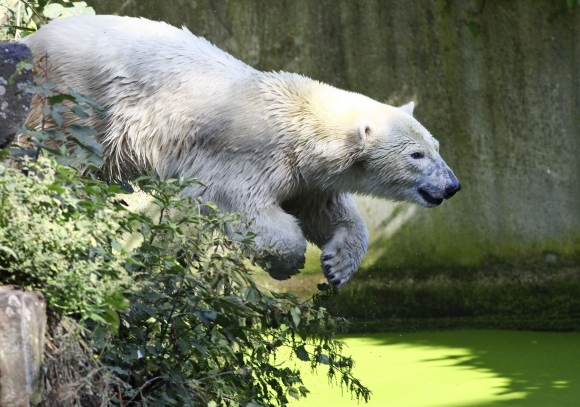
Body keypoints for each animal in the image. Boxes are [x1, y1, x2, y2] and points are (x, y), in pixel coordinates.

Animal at [22, 15, 460, 286]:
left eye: (435, 146)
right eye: (416, 156)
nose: (452, 185)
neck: (301, 117)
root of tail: (30, 39)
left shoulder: (307, 175)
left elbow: (328, 210)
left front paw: (336, 265)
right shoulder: (248, 157)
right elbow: (246, 207)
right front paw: (288, 262)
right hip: (73, 99)